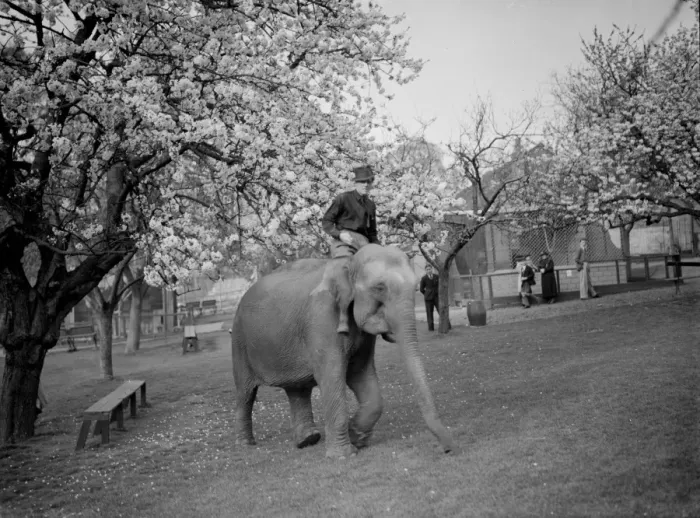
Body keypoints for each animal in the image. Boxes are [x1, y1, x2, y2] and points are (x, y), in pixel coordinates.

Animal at [230, 244, 455, 458]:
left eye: (415, 285)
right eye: (380, 287)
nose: (446, 449)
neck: (348, 262)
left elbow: (361, 375)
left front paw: (356, 438)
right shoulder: (322, 321)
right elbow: (332, 376)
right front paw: (344, 455)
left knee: (297, 389)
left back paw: (308, 440)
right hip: (239, 342)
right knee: (245, 393)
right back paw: (246, 444)